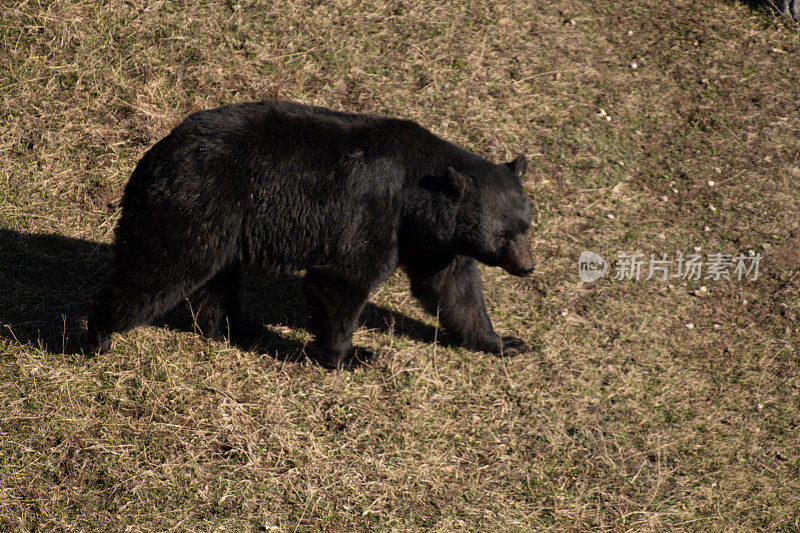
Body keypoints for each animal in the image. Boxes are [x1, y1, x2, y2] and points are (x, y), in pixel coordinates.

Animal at [87, 100, 536, 368]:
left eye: (527, 225)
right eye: (503, 235)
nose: (528, 266)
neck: (416, 192)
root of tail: (153, 157)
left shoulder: (429, 238)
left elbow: (452, 288)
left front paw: (503, 342)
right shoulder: (376, 213)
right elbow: (344, 277)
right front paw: (352, 355)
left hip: (222, 226)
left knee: (214, 281)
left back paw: (235, 328)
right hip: (198, 206)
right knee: (161, 267)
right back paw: (99, 333)